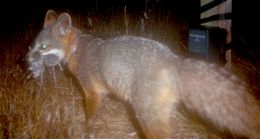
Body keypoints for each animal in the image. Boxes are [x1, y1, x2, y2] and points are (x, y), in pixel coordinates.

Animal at [26, 9, 260, 138]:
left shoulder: (92, 94)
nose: (26, 60)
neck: (77, 48)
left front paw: (85, 130)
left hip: (146, 118)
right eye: (34, 45)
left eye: (43, 47)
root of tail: (172, 58)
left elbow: (88, 119)